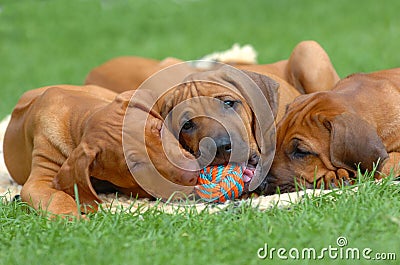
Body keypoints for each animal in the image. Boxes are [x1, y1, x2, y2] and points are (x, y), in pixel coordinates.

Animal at [3, 65, 278, 214]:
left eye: (158, 131)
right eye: (133, 165)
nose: (192, 176)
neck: (77, 116)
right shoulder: (38, 180)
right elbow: (55, 197)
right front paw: (73, 219)